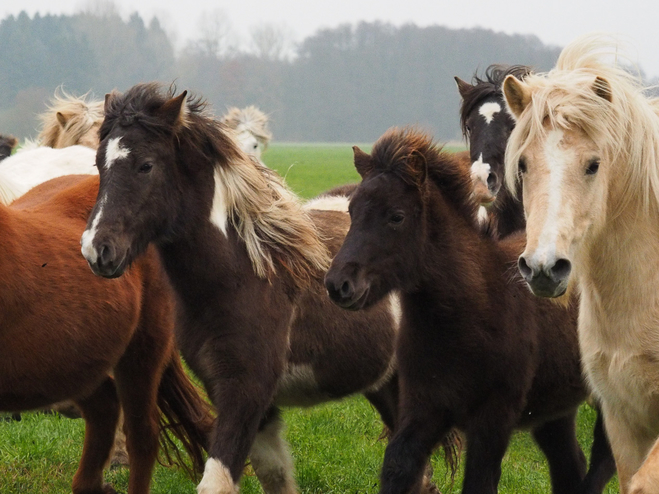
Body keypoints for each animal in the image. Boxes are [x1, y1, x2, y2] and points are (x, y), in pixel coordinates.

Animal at [80, 84, 418, 494]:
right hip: (384, 384)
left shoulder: (246, 391)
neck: (241, 278)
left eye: (146, 165)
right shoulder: (242, 399)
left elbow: (216, 483)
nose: (97, 250)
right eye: (99, 165)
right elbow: (274, 475)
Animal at [330, 128, 620, 494]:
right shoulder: (424, 407)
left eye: (396, 216)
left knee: (604, 458)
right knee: (570, 464)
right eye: (352, 211)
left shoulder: (493, 417)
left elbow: (479, 481)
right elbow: (397, 466)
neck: (470, 311)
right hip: (554, 406)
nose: (338, 284)